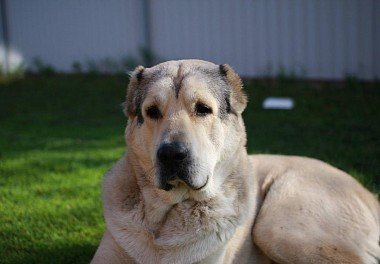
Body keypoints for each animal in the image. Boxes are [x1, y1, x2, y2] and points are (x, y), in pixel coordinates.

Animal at [92, 59, 380, 264]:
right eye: (152, 112)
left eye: (202, 109)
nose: (171, 154)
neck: (165, 219)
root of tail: (368, 193)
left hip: (277, 229)